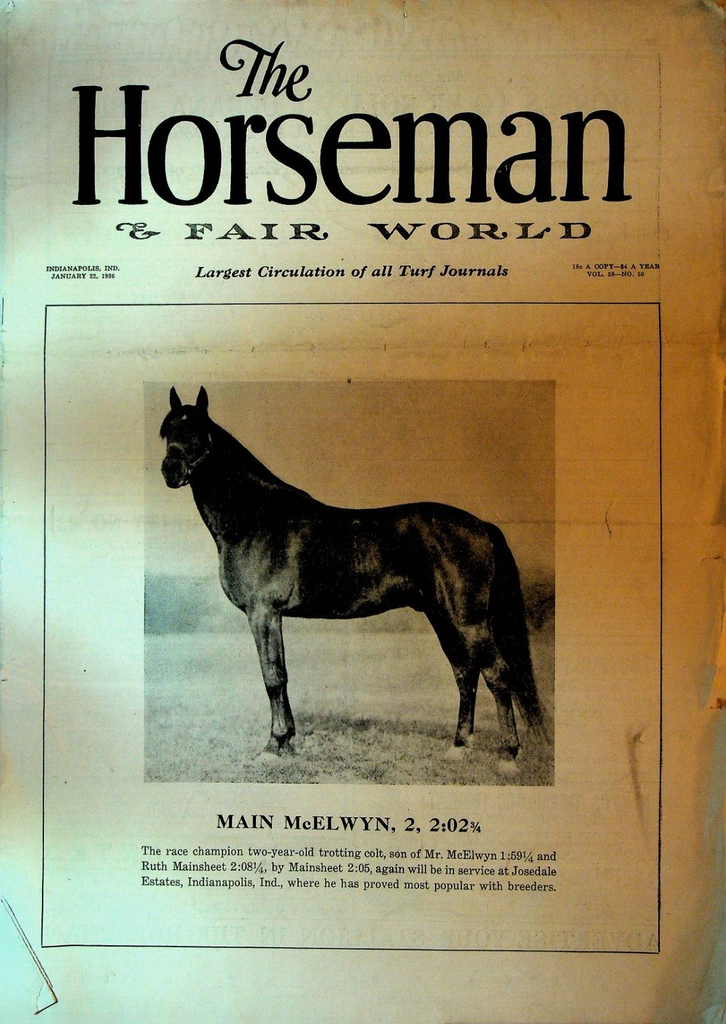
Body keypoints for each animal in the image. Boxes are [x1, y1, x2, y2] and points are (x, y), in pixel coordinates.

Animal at [160, 386, 547, 775]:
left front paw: (273, 745)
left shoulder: (262, 612)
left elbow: (272, 678)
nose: (169, 471)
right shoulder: (272, 615)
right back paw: (458, 748)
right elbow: (282, 675)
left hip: (467, 621)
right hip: (443, 617)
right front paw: (288, 742)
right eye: (166, 432)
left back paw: (508, 756)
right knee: (465, 674)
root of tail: (482, 525)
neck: (255, 515)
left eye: (197, 432)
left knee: (497, 675)